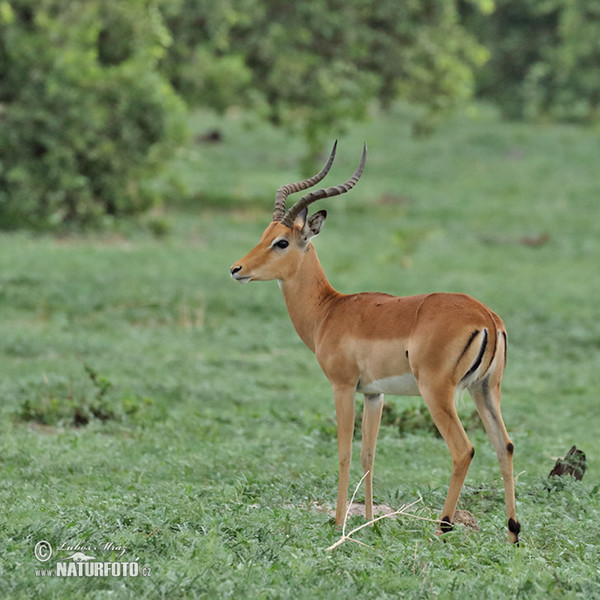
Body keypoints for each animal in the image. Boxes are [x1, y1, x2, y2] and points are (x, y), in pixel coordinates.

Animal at [230, 142, 520, 544]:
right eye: (264, 234)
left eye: (282, 242)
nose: (236, 269)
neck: (330, 310)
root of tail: (487, 317)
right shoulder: (374, 393)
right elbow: (369, 454)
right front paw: (368, 522)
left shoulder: (342, 386)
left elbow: (344, 452)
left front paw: (338, 522)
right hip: (486, 389)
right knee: (504, 445)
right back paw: (512, 534)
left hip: (438, 392)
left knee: (464, 449)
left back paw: (443, 526)